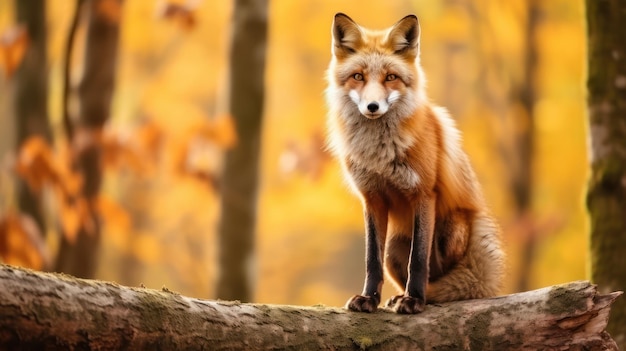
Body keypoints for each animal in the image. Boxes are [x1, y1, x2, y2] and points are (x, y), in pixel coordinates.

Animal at [324, 13, 504, 314]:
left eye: (391, 77)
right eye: (358, 76)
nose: (372, 106)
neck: (380, 154)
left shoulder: (424, 193)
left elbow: (418, 260)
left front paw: (414, 299)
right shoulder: (372, 199)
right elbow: (371, 260)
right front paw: (369, 298)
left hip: (449, 228)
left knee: (439, 275)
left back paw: (424, 296)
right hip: (393, 246)